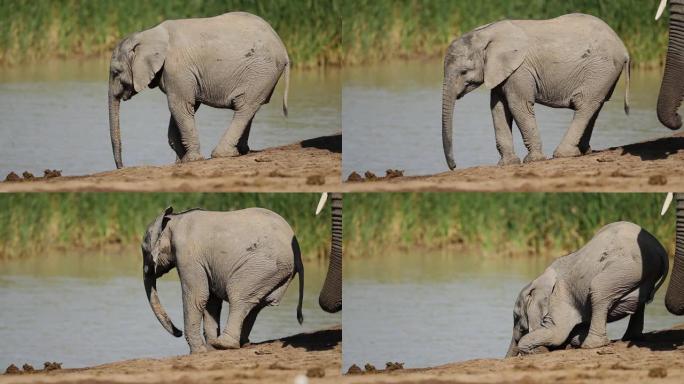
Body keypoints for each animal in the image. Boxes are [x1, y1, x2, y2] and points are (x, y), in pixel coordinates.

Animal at [108, 12, 290, 168]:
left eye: (116, 72)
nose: (122, 167)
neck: (148, 34)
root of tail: (283, 48)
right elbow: (186, 107)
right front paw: (182, 161)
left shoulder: (177, 68)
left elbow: (179, 105)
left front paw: (191, 160)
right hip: (263, 75)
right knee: (250, 107)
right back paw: (241, 151)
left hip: (261, 71)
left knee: (244, 107)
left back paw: (223, 154)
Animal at [141, 207, 302, 354]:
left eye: (143, 250)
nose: (178, 332)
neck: (174, 219)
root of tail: (298, 254)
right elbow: (211, 302)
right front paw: (209, 349)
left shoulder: (187, 254)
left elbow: (197, 297)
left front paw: (199, 352)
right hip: (276, 273)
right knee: (256, 304)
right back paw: (240, 343)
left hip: (264, 266)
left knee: (239, 296)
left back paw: (224, 344)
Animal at [444, 13, 632, 170]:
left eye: (464, 72)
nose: (454, 167)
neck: (486, 33)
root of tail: (624, 49)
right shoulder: (501, 71)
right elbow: (498, 108)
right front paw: (507, 163)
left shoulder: (520, 70)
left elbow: (518, 105)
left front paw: (533, 160)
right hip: (604, 74)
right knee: (595, 106)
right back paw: (583, 151)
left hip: (601, 69)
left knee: (584, 105)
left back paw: (564, 154)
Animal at [508, 222, 668, 356]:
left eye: (516, 317)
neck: (538, 280)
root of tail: (661, 250)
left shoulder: (559, 297)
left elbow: (557, 334)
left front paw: (539, 351)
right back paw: (631, 337)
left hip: (630, 267)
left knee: (598, 288)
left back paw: (591, 345)